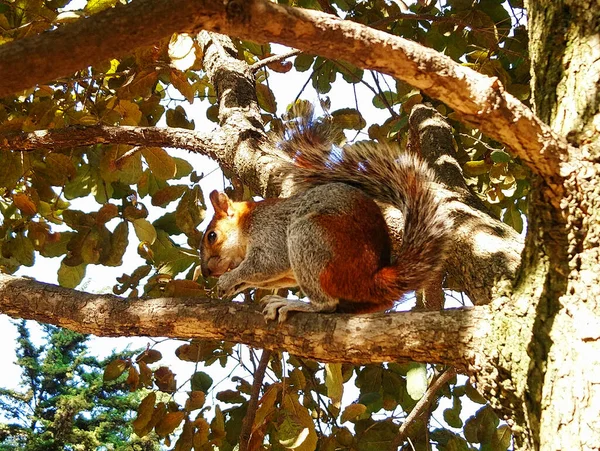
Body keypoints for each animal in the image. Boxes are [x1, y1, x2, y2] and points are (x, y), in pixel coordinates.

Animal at [199, 108, 448, 324]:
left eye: (212, 236)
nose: (207, 272)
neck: (246, 224)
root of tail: (372, 279)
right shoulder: (288, 274)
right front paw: (232, 285)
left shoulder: (269, 231)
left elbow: (264, 264)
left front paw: (229, 279)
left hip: (310, 237)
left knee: (326, 304)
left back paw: (295, 304)